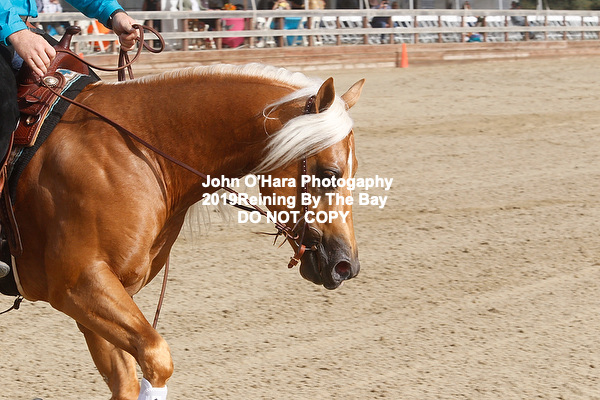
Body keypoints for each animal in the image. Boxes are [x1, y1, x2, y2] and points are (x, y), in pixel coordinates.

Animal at [8, 63, 364, 399]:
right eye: (329, 174)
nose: (346, 265)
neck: (139, 154)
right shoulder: (80, 284)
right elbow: (156, 357)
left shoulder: (103, 296)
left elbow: (126, 382)